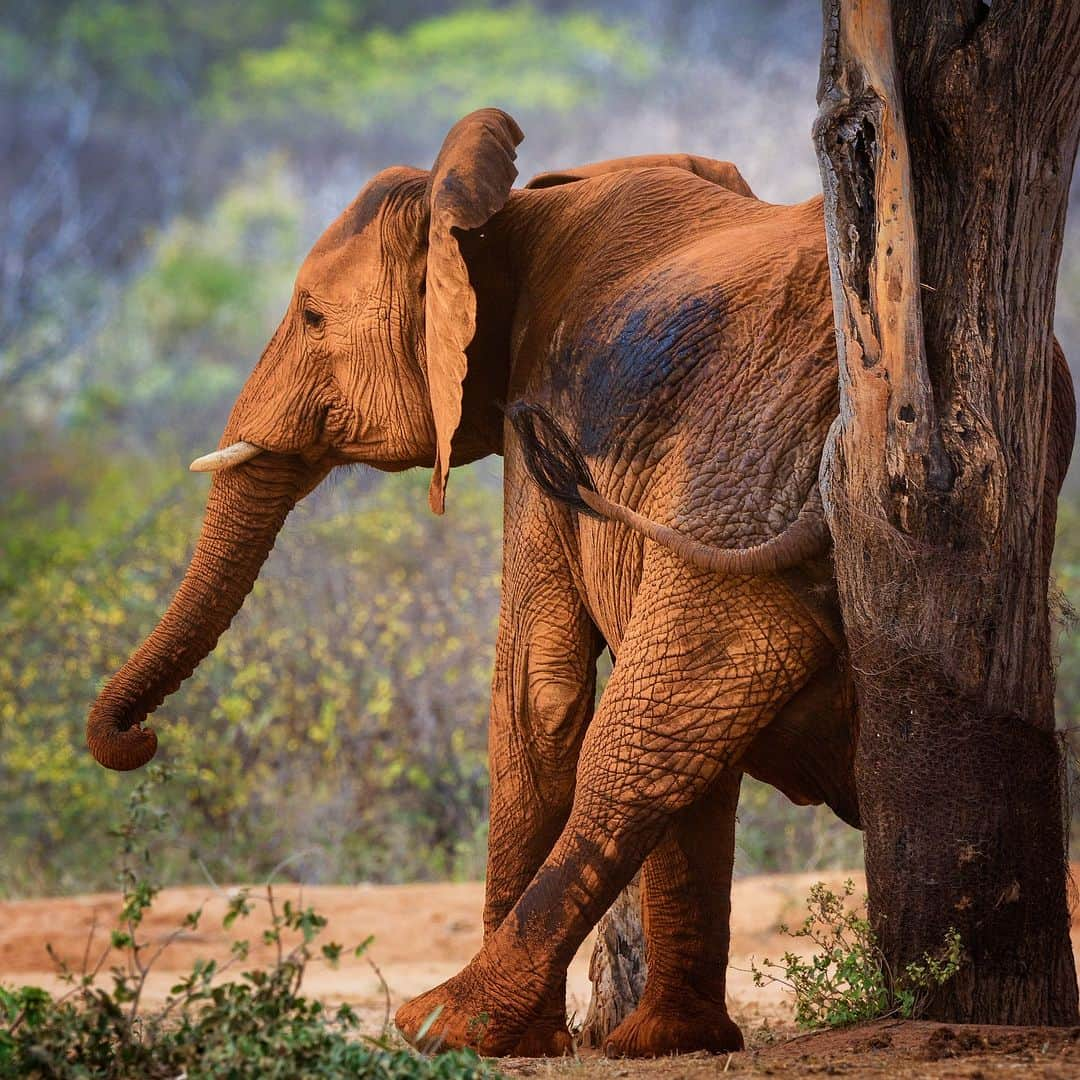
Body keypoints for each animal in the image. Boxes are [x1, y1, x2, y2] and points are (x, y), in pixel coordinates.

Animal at [84, 107, 1071, 1054]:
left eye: (314, 318)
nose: (141, 743)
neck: (495, 215)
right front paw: (663, 1046)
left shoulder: (540, 420)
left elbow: (540, 690)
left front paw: (530, 1045)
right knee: (685, 729)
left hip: (741, 476)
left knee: (640, 740)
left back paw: (438, 1026)